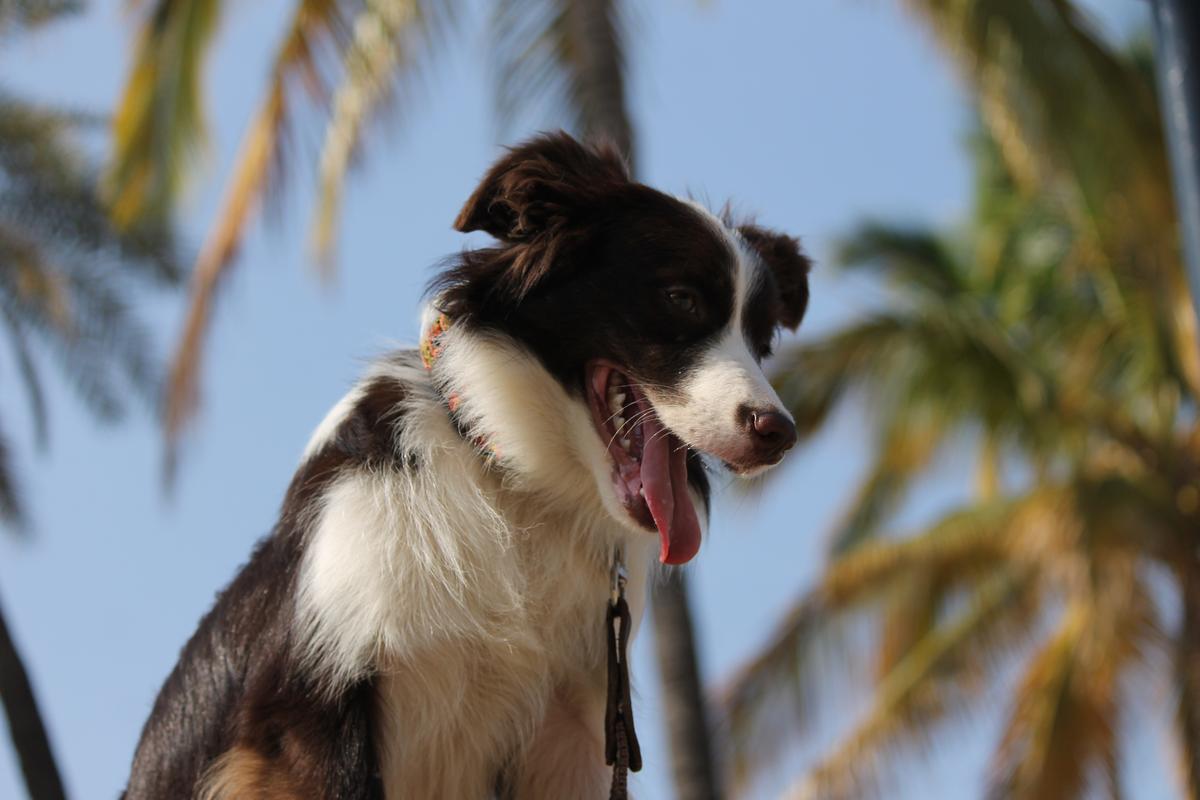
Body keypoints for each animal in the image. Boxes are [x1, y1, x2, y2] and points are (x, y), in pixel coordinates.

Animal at [121, 133, 811, 800]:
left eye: (761, 342)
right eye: (681, 299)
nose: (780, 435)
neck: (514, 483)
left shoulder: (567, 732)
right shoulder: (307, 713)